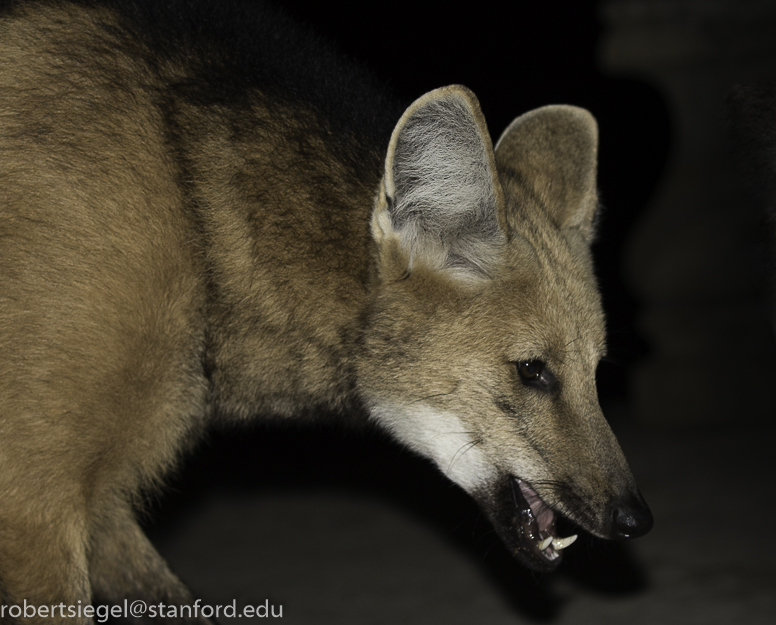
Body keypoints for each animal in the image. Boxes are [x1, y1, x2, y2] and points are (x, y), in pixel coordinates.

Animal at [1, 0, 656, 620]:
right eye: (532, 371)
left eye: (596, 373)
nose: (636, 519)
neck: (198, 220)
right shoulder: (38, 502)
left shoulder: (96, 505)